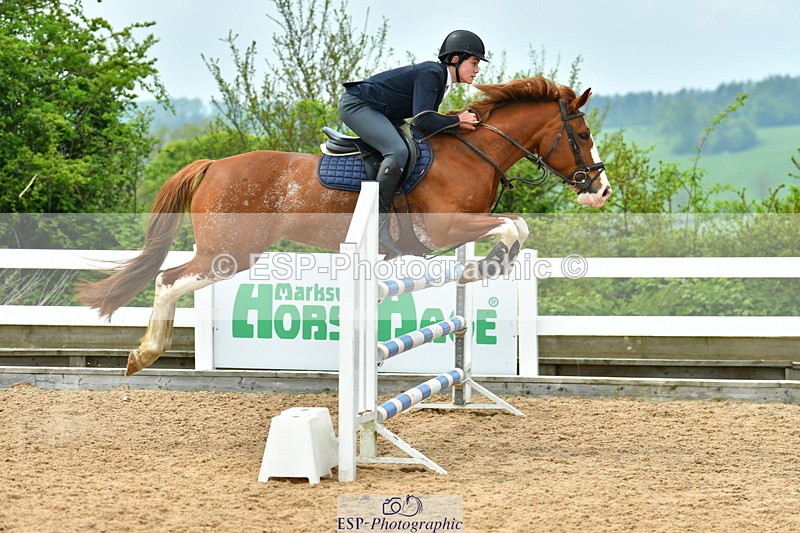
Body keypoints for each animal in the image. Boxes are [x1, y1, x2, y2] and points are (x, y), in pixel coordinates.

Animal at [76, 75, 612, 376]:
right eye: (583, 134)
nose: (600, 190)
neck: (472, 153)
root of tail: (213, 166)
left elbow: (517, 226)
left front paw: (491, 266)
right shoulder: (444, 230)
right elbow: (513, 225)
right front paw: (494, 264)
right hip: (229, 254)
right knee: (170, 279)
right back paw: (145, 354)